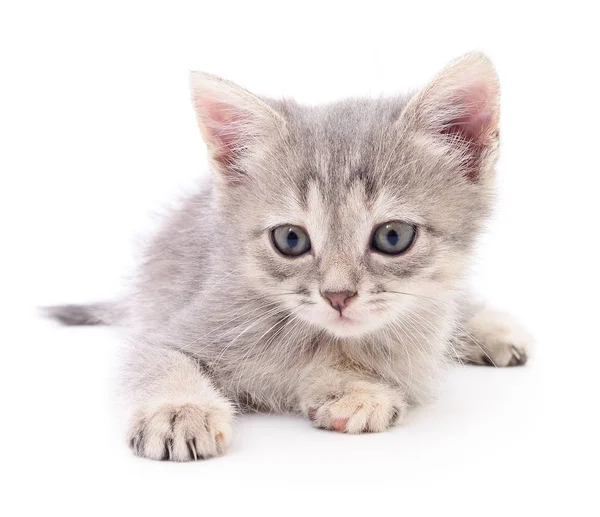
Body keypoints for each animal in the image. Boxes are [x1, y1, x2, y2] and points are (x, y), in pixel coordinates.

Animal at [48, 52, 536, 462]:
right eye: (290, 240)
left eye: (393, 236)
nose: (337, 296)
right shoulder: (172, 327)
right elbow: (161, 361)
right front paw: (178, 410)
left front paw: (349, 386)